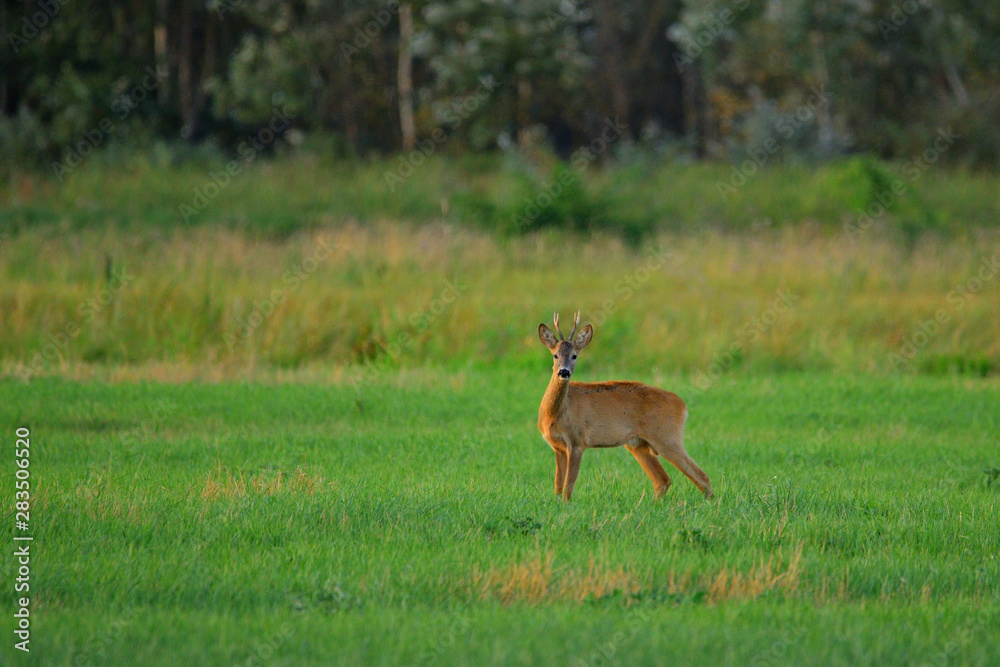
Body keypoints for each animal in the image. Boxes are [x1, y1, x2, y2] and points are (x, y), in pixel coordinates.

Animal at [537, 311, 713, 502]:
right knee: (662, 480)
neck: (556, 414)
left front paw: (567, 506)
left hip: (666, 436)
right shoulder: (558, 447)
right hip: (638, 444)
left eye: (575, 356)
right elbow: (558, 486)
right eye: (555, 355)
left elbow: (568, 488)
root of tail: (682, 405)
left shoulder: (578, 441)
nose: (564, 372)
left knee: (701, 476)